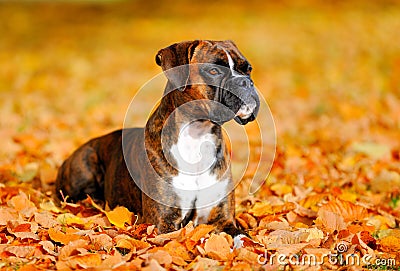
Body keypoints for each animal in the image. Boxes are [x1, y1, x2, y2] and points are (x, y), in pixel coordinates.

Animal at [56, 39, 260, 242]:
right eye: (213, 71)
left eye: (248, 69)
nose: (245, 82)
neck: (197, 136)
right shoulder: (163, 223)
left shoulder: (223, 220)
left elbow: (244, 240)